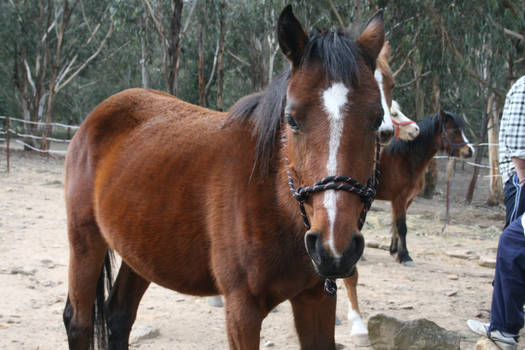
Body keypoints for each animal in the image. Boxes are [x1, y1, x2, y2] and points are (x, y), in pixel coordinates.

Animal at [63, 6, 386, 350]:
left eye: (377, 120)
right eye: (292, 119)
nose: (334, 248)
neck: (272, 200)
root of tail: (97, 115)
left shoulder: (317, 299)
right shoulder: (242, 309)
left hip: (139, 249)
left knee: (119, 315)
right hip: (85, 240)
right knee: (79, 322)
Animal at [342, 110, 472, 346]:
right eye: (453, 130)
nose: (469, 151)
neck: (405, 159)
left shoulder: (406, 201)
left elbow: (396, 226)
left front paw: (395, 251)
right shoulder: (400, 199)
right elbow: (402, 227)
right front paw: (405, 256)